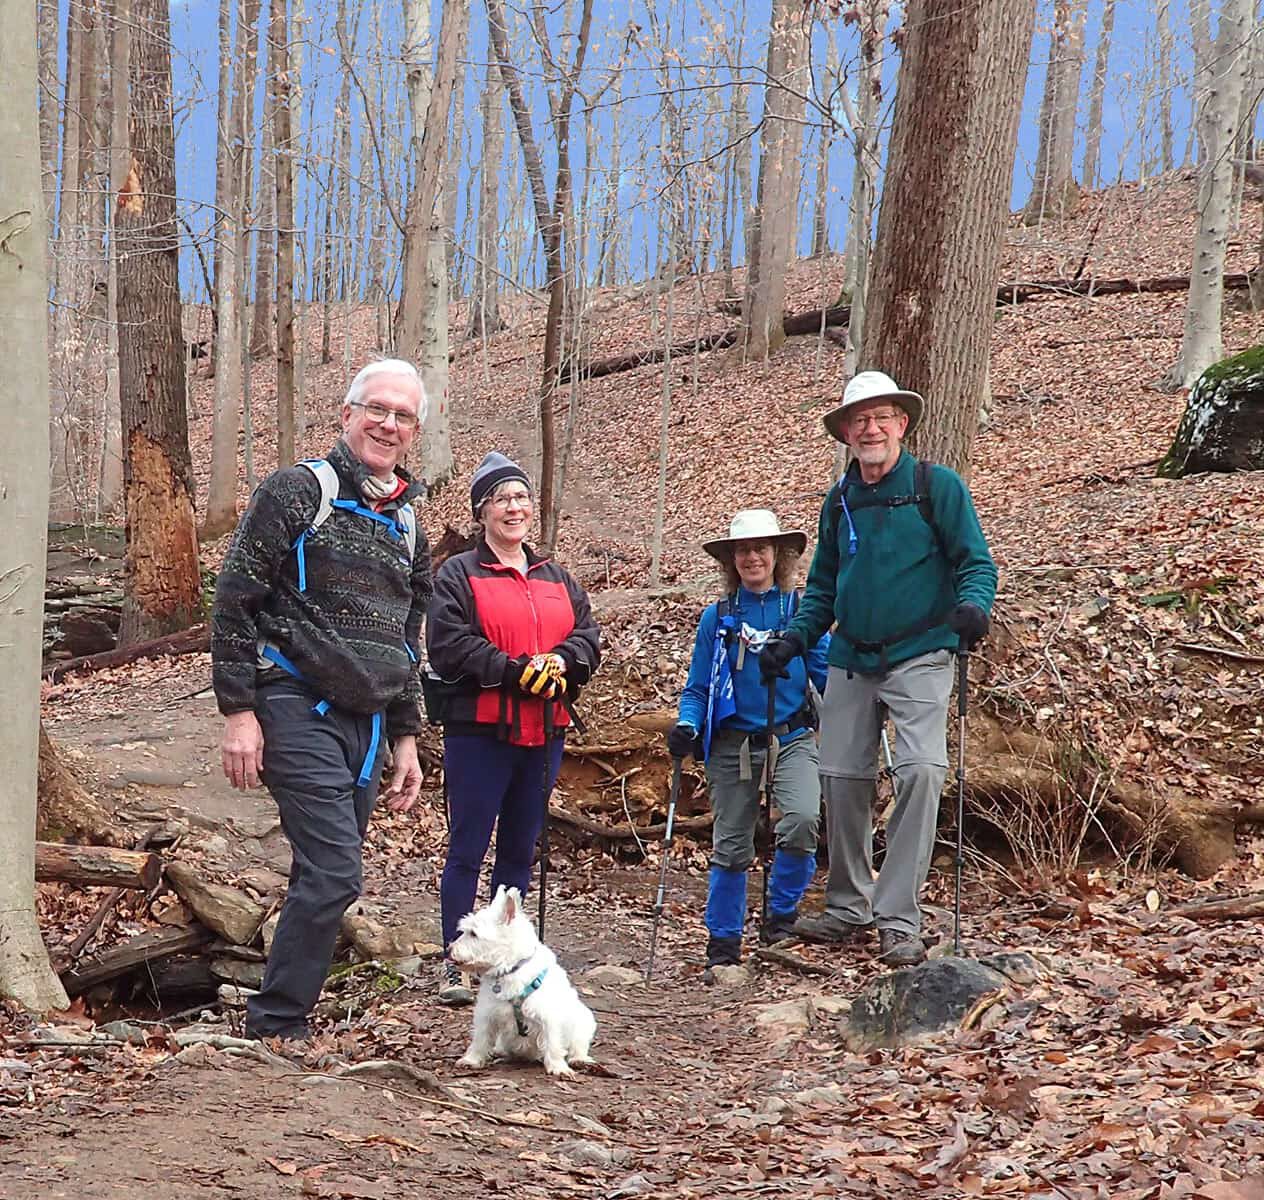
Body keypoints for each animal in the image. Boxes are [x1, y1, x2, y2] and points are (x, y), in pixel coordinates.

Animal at [449, 880, 596, 1077]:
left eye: (473, 933)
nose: (449, 950)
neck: (510, 969)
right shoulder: (487, 1013)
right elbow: (480, 1038)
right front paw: (471, 1060)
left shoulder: (550, 1018)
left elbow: (554, 1043)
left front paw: (558, 1068)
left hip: (584, 1020)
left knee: (578, 1045)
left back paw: (580, 1060)